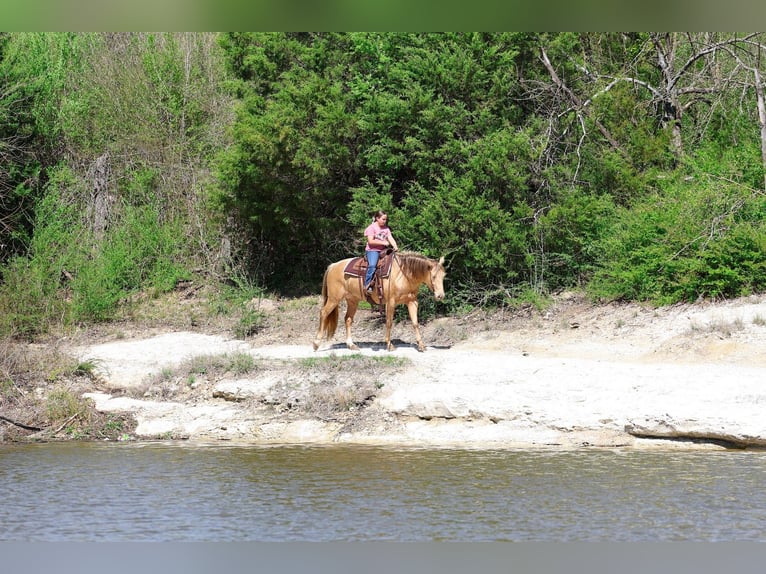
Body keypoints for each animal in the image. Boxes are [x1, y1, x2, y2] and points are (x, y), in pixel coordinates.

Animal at [312, 251, 446, 352]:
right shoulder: (390, 302)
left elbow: (415, 323)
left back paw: (351, 345)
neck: (403, 274)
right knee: (323, 313)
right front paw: (389, 345)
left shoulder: (412, 302)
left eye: (443, 276)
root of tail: (333, 266)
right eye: (433, 276)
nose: (440, 296)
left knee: (348, 319)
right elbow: (389, 323)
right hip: (334, 299)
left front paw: (421, 345)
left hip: (352, 300)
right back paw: (316, 343)